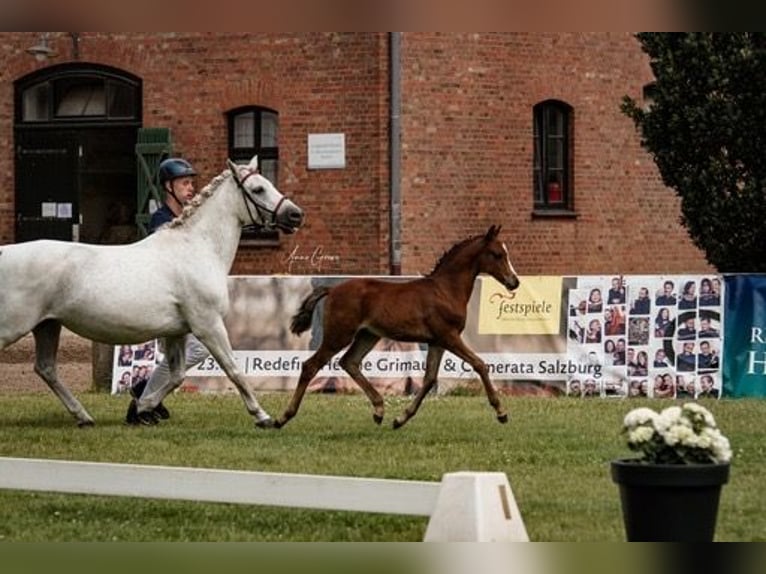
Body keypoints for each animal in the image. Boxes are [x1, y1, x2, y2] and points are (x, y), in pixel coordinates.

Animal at [0, 155, 306, 430]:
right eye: (258, 189)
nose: (296, 214)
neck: (197, 248)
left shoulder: (177, 332)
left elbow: (176, 375)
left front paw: (143, 407)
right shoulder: (208, 325)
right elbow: (233, 369)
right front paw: (264, 417)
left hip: (48, 325)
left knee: (46, 368)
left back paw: (84, 417)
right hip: (14, 327)